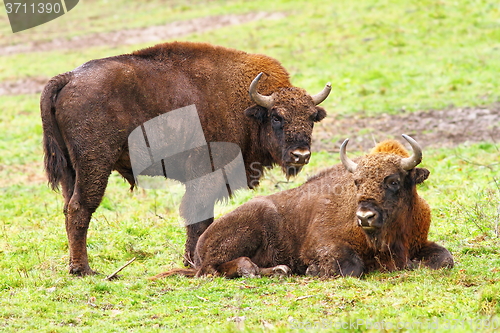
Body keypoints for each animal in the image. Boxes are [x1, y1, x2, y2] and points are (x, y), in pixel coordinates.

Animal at [41, 40, 332, 274]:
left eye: (311, 117)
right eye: (277, 116)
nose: (300, 154)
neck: (245, 106)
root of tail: (69, 78)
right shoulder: (205, 175)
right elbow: (198, 216)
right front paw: (192, 261)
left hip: (71, 170)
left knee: (68, 207)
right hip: (95, 164)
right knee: (80, 208)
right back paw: (83, 269)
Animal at [151, 134, 454, 278]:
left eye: (393, 181)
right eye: (357, 182)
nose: (365, 216)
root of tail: (200, 244)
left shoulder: (419, 243)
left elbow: (445, 259)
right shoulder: (323, 245)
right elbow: (351, 266)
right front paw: (313, 271)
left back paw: (278, 271)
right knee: (212, 270)